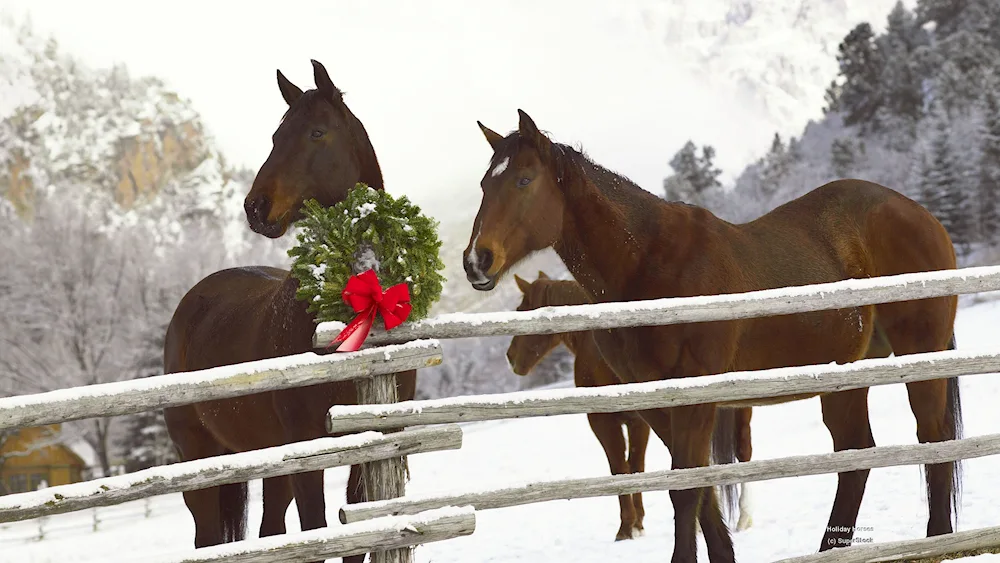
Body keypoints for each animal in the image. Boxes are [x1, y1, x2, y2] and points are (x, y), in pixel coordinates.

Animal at [164, 59, 414, 560]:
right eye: (277, 136)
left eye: (317, 132)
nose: (256, 208)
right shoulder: (309, 452)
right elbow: (319, 532)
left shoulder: (369, 446)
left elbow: (355, 541)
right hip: (200, 458)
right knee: (208, 539)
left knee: (270, 531)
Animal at [508, 274, 756, 540]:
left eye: (520, 310)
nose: (510, 357)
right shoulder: (639, 421)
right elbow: (635, 467)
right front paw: (638, 522)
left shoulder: (607, 421)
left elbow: (622, 468)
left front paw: (627, 527)